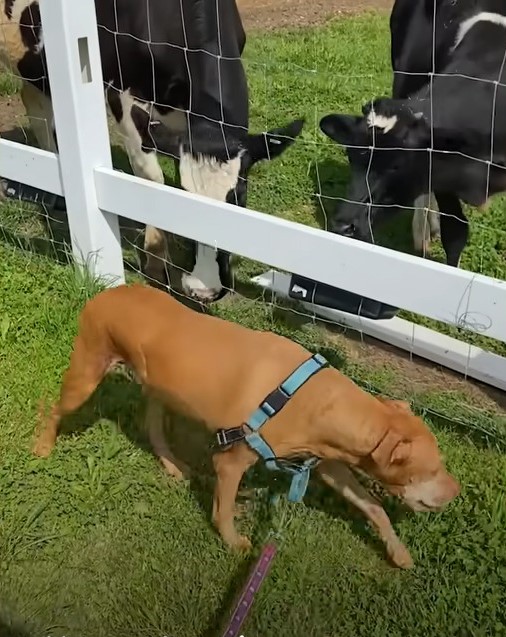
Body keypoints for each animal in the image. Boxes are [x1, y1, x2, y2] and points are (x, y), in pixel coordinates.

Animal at [0, 0, 304, 300]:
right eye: (185, 197)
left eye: (239, 197)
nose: (203, 290)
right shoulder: (123, 95)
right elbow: (151, 179)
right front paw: (156, 260)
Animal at [33, 284, 460, 568]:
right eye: (432, 469)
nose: (456, 491)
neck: (308, 396)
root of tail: (110, 289)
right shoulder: (231, 461)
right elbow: (222, 510)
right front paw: (234, 542)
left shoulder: (328, 463)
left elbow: (374, 508)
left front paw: (397, 551)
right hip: (86, 371)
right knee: (52, 407)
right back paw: (43, 446)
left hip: (159, 388)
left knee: (152, 426)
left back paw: (171, 464)